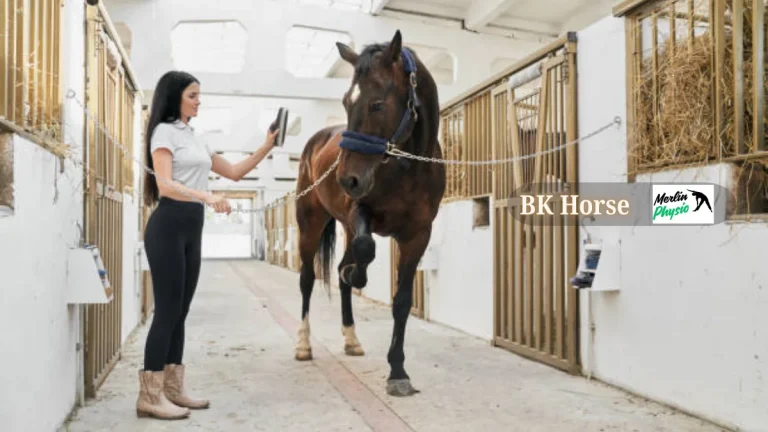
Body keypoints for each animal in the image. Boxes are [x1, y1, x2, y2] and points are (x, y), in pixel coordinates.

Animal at [292, 29, 446, 397]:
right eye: (347, 102)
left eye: (378, 104)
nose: (347, 179)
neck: (409, 168)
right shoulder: (360, 212)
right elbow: (364, 252)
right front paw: (356, 274)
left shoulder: (418, 235)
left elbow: (401, 300)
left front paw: (398, 371)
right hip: (310, 223)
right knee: (307, 278)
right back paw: (303, 344)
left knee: (339, 269)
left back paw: (351, 339)